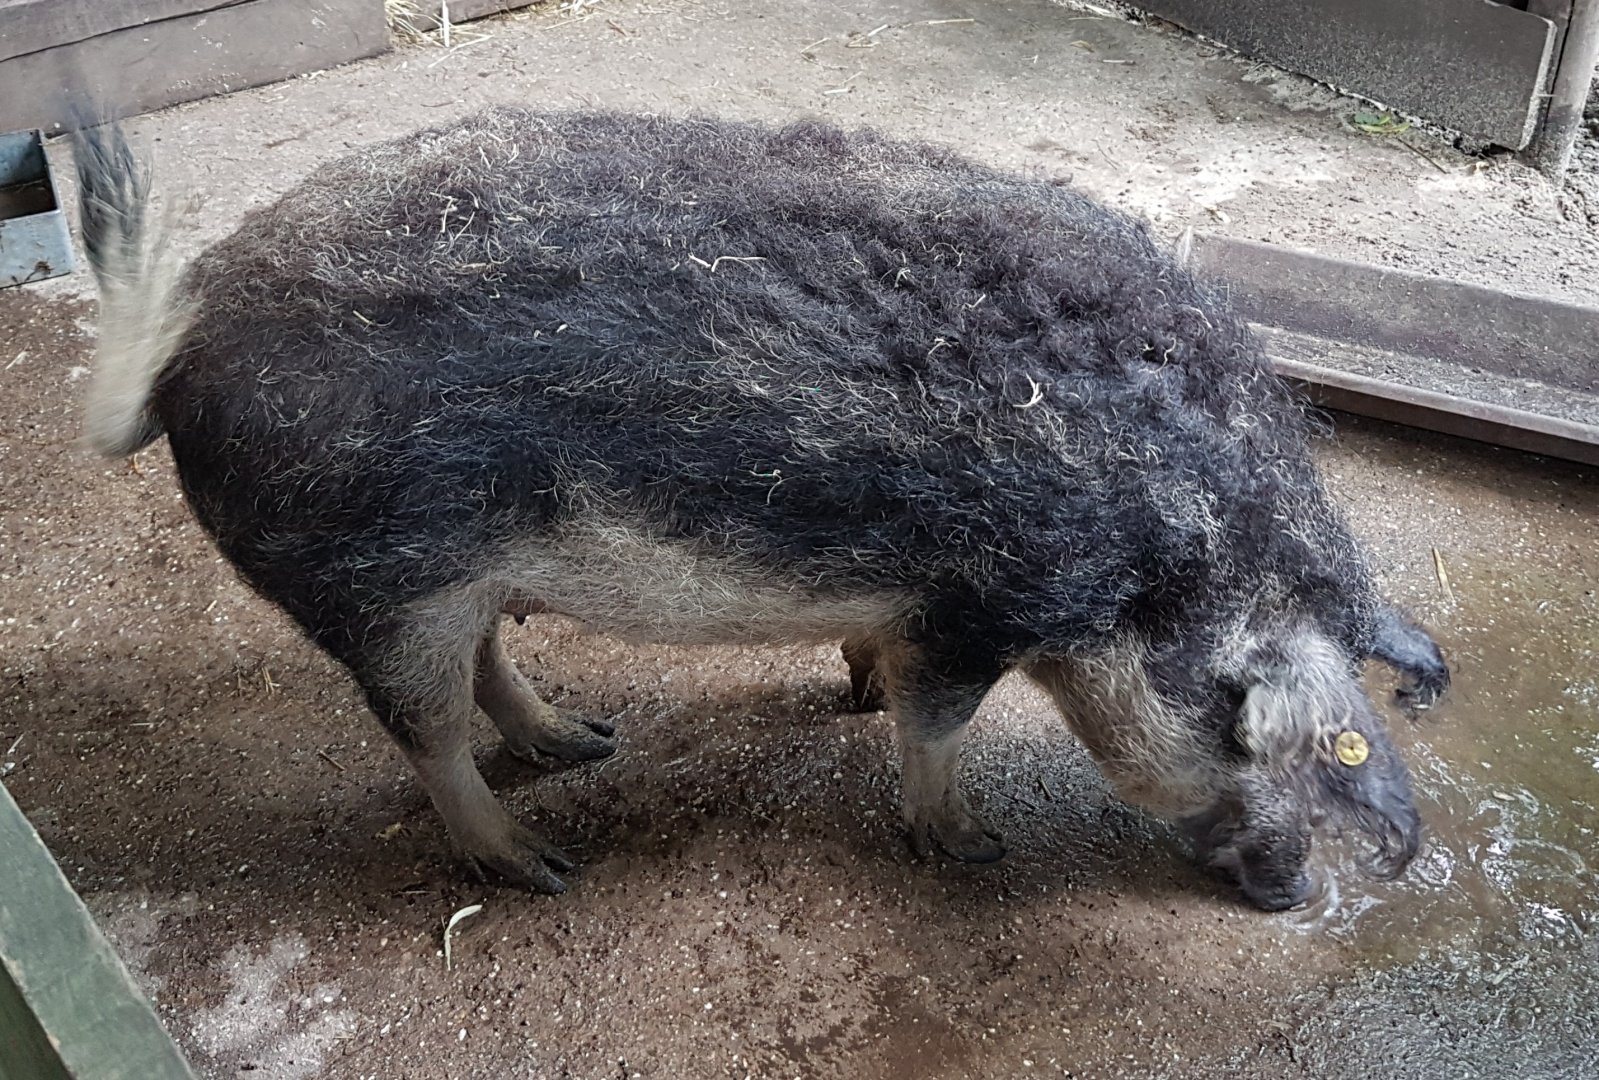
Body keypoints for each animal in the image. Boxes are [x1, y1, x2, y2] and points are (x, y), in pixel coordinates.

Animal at [71, 106, 1448, 908]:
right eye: (1293, 740)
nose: (1296, 896)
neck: (1163, 568)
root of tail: (180, 348)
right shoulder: (981, 601)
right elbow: (938, 730)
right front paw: (971, 850)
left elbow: (883, 676)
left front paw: (851, 694)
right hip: (376, 579)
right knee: (430, 734)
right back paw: (542, 870)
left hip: (450, 580)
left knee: (486, 677)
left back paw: (584, 745)